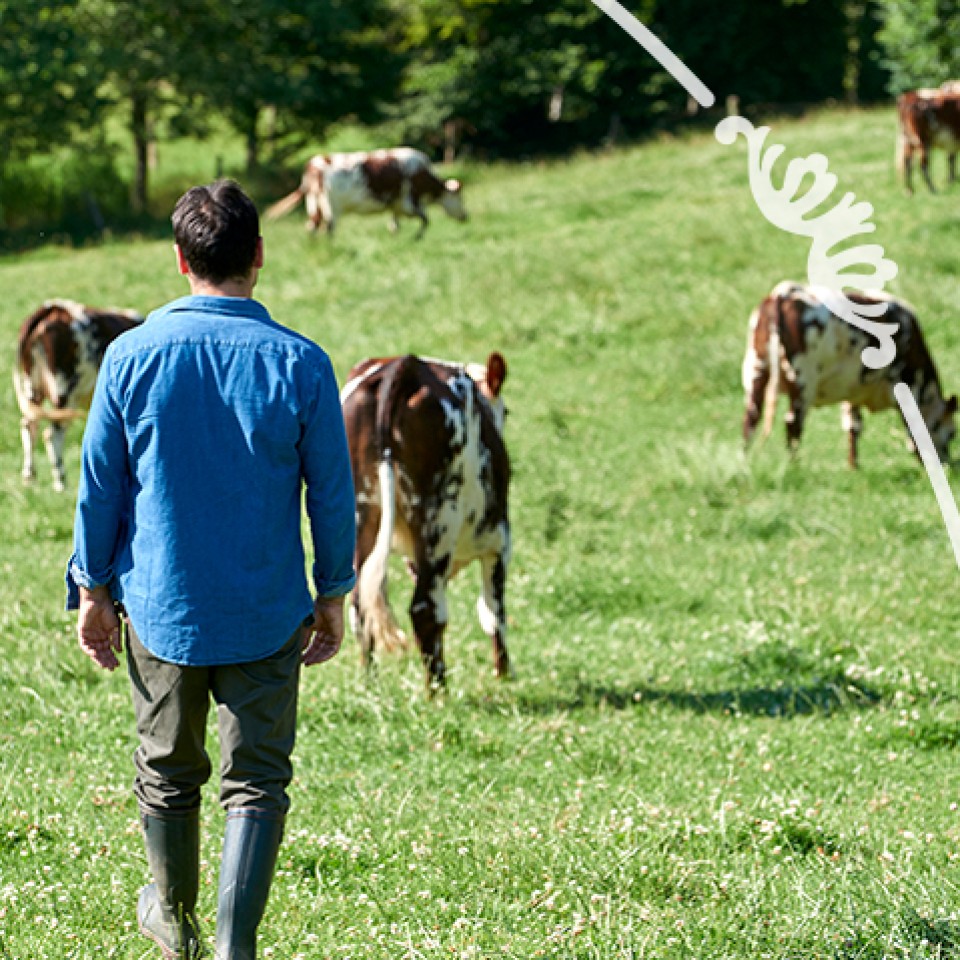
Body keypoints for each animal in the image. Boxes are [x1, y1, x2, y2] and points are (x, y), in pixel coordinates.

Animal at [13, 300, 142, 492]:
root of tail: (52, 307)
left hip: (33, 387)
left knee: (30, 426)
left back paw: (30, 479)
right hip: (64, 390)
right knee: (51, 433)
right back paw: (61, 482)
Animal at [266, 146, 468, 238]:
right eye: (460, 198)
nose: (466, 216)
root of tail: (314, 164)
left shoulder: (396, 204)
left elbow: (394, 224)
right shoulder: (410, 202)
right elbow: (426, 220)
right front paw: (417, 238)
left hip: (314, 205)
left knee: (312, 228)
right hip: (331, 207)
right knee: (328, 229)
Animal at [344, 352, 512, 688]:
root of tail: (405, 364)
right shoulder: (498, 542)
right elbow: (493, 611)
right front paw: (504, 677)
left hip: (360, 515)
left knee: (358, 604)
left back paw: (370, 683)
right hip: (439, 521)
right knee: (425, 611)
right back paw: (438, 692)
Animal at [744, 282, 952, 468]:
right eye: (952, 434)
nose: (946, 465)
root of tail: (784, 293)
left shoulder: (853, 388)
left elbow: (853, 426)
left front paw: (853, 467)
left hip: (756, 372)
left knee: (751, 418)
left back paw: (744, 464)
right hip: (803, 382)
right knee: (792, 424)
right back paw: (793, 467)